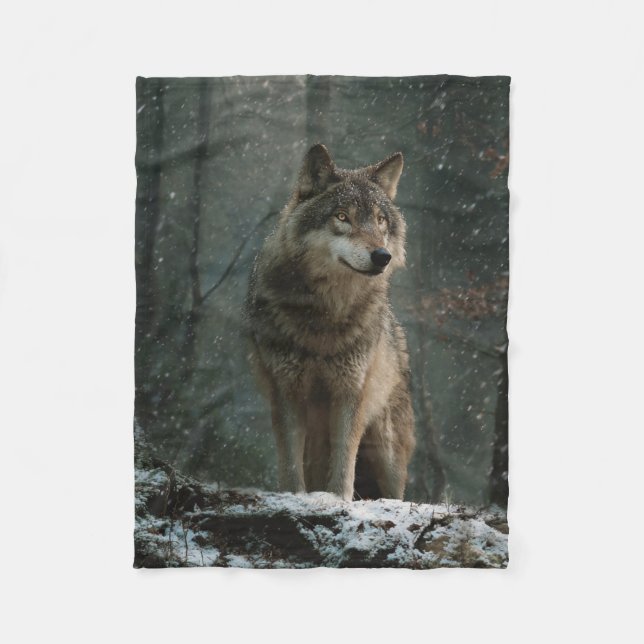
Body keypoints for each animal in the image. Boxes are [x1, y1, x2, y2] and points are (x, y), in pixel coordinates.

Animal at [245, 144, 415, 501]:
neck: (326, 315)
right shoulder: (286, 390)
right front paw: (296, 497)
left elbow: (344, 462)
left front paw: (338, 499)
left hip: (386, 448)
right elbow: (290, 463)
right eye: (342, 217)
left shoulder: (351, 392)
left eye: (380, 220)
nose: (382, 256)